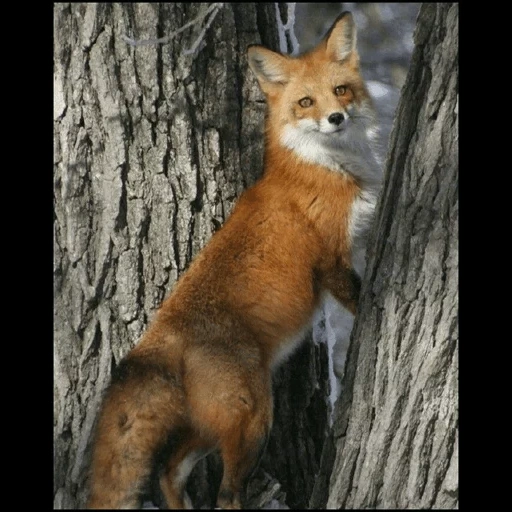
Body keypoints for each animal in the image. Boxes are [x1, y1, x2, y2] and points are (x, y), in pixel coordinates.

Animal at [87, 11, 380, 508]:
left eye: (341, 90)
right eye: (306, 102)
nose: (336, 118)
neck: (324, 167)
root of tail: (161, 334)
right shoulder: (330, 260)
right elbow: (358, 302)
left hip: (212, 428)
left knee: (168, 471)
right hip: (253, 419)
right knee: (224, 494)